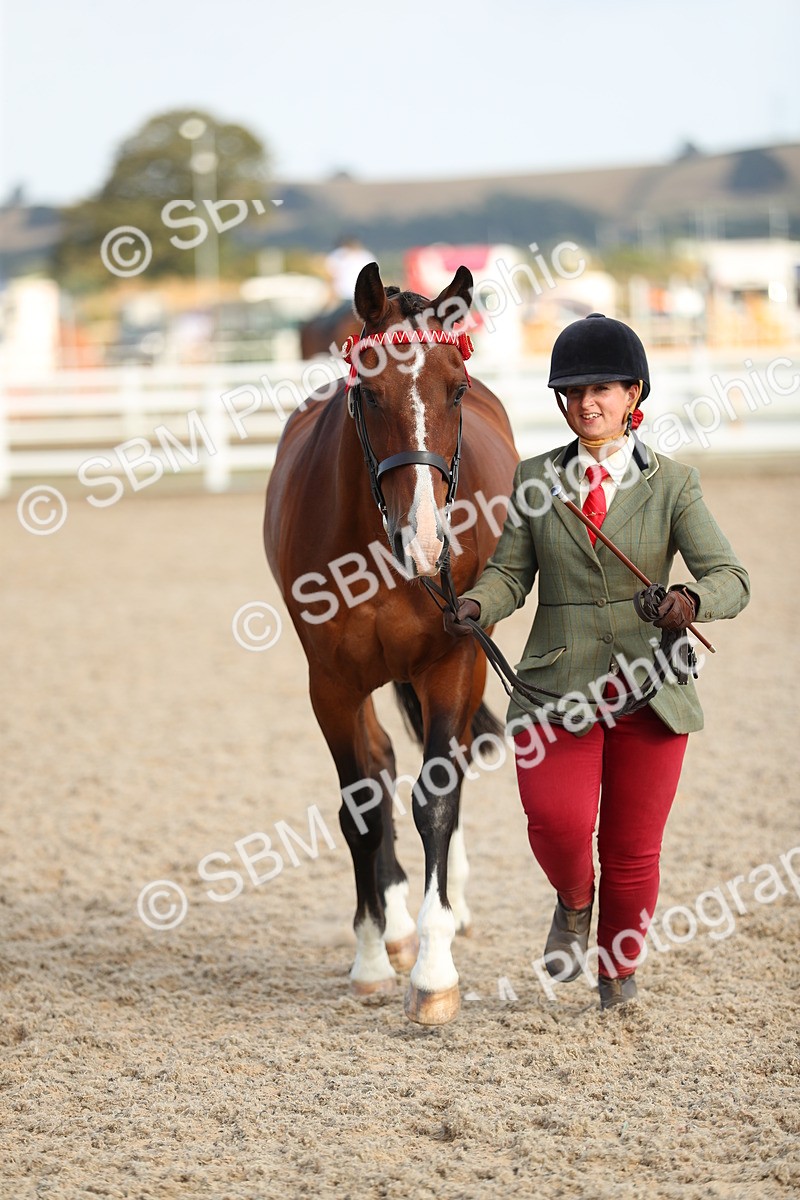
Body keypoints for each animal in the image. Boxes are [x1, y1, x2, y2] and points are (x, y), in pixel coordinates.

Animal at [264, 262, 518, 1025]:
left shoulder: (452, 661)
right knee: (378, 766)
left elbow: (435, 799)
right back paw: (399, 925)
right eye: (369, 392)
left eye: (455, 389)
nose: (427, 542)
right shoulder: (331, 683)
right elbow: (362, 805)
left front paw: (435, 974)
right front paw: (374, 957)